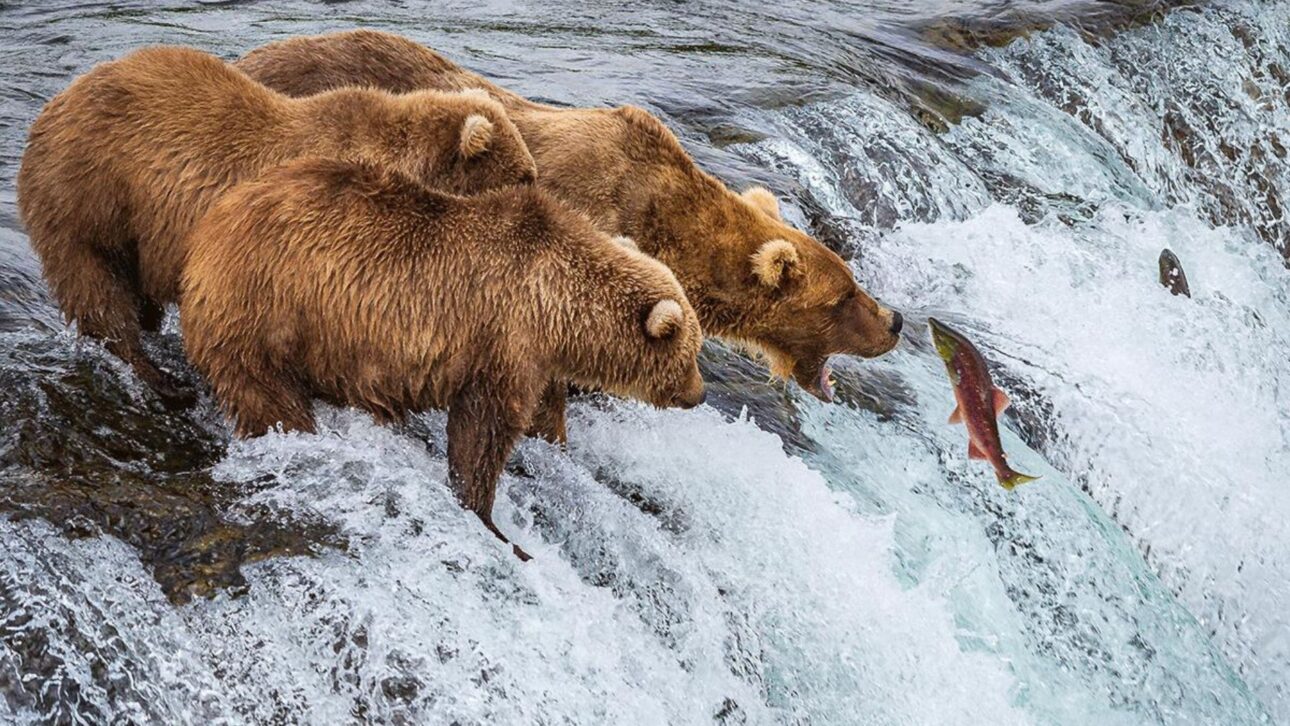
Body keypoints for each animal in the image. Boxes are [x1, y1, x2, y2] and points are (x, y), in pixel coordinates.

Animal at [17, 44, 537, 407]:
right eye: (525, 176)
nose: (539, 195)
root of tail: (54, 104)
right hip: (89, 194)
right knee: (96, 287)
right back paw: (161, 379)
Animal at [180, 157, 706, 557]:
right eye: (691, 353)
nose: (699, 394)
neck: (557, 305)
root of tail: (208, 230)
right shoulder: (503, 339)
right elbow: (483, 431)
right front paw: (492, 520)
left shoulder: (536, 358)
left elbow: (541, 415)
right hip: (266, 310)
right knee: (268, 395)